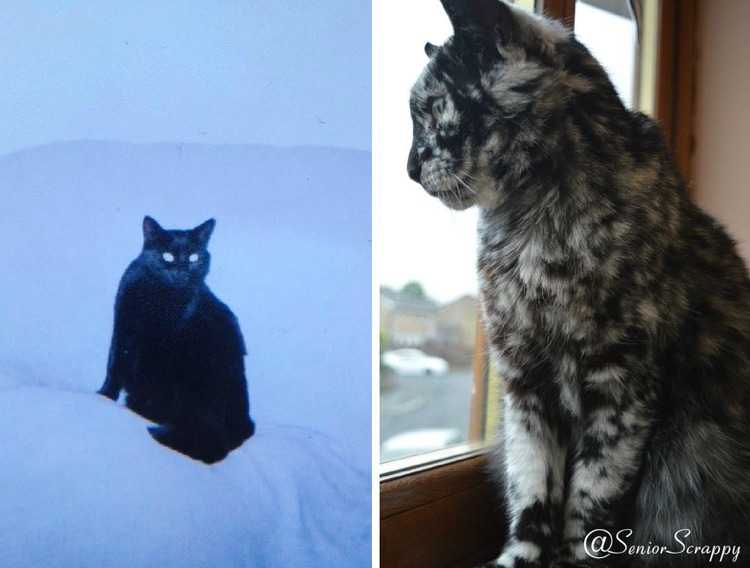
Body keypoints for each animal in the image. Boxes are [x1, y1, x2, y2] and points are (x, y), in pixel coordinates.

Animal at [98, 215, 258, 464]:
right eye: (168, 256)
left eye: (194, 257)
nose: (183, 270)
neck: (159, 297)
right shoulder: (123, 330)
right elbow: (113, 369)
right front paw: (104, 396)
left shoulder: (157, 349)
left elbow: (143, 383)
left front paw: (134, 410)